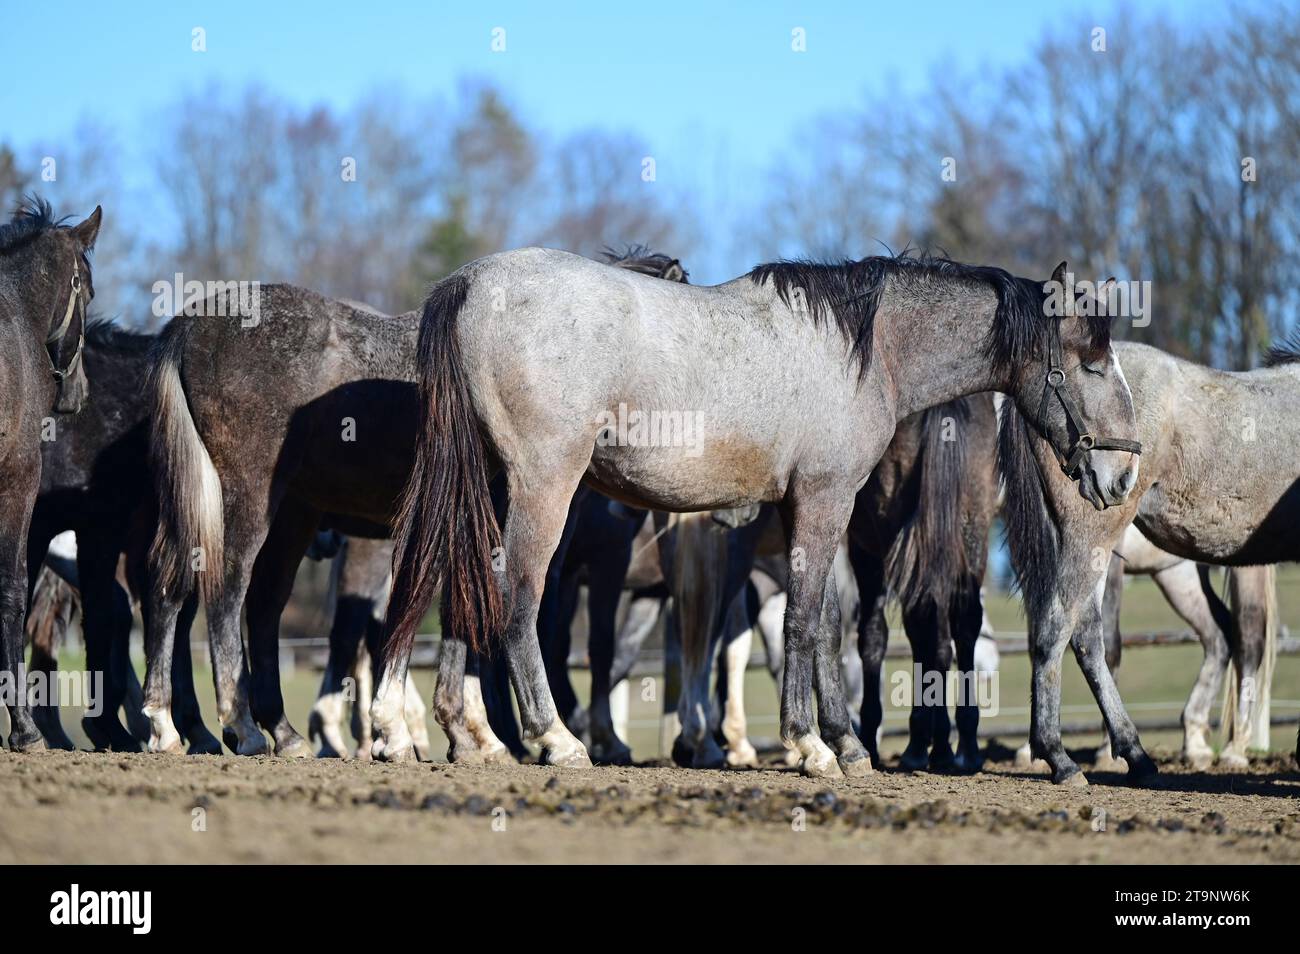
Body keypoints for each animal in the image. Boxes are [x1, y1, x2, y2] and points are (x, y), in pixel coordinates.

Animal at [380, 251, 1142, 777]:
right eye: (1093, 362)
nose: (1123, 473)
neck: (867, 353)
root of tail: (469, 284)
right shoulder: (825, 500)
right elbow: (804, 623)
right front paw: (811, 747)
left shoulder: (810, 514)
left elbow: (821, 627)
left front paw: (844, 744)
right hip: (543, 486)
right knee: (516, 597)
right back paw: (552, 738)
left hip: (482, 487)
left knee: (453, 585)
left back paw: (451, 735)